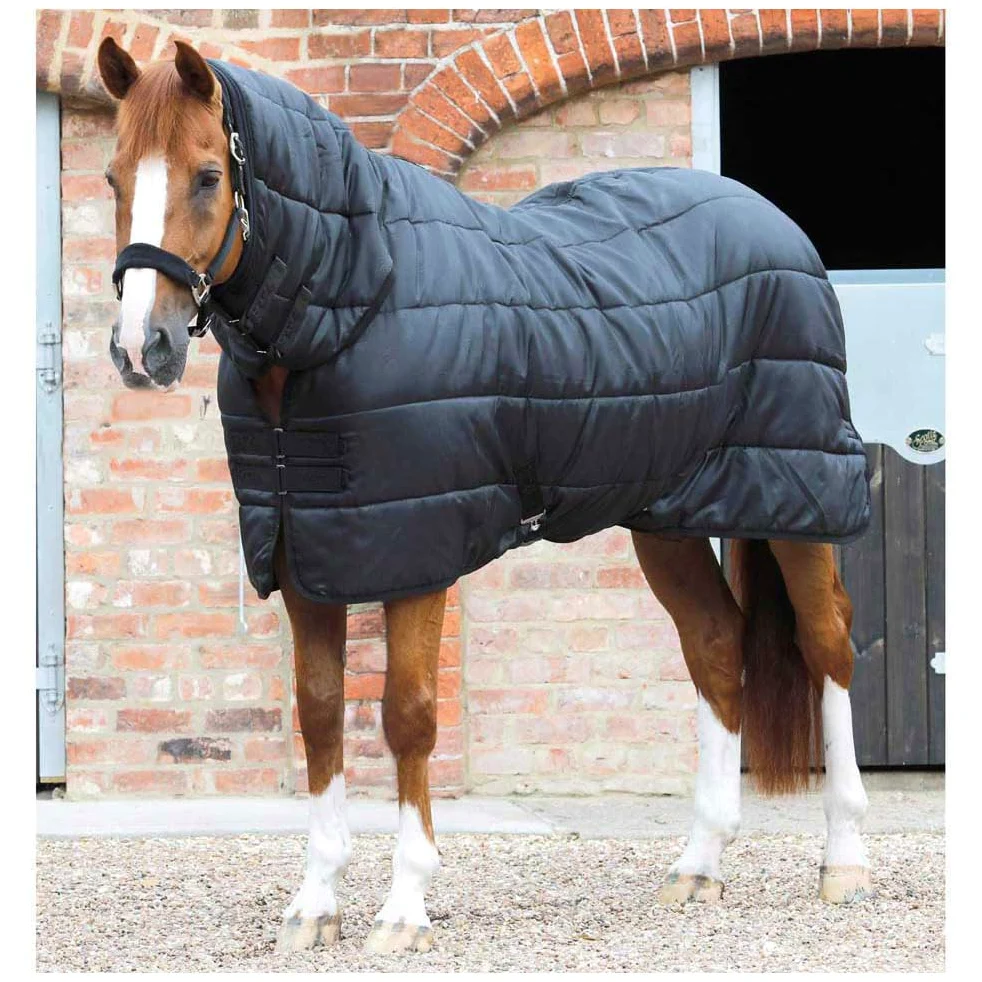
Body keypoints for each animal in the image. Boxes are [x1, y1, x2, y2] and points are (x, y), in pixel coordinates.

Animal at [96, 37, 872, 954]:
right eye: (112, 176)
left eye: (209, 174)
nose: (141, 348)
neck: (353, 300)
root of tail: (774, 223)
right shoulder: (302, 554)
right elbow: (320, 714)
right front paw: (315, 904)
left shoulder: (418, 555)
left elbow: (407, 715)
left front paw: (404, 908)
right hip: (666, 516)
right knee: (718, 647)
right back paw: (698, 865)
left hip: (800, 495)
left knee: (828, 646)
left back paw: (845, 861)